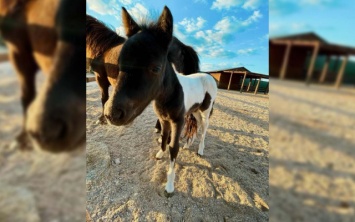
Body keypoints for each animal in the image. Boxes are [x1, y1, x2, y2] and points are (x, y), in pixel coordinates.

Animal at [104, 6, 218, 196]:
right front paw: (159, 154)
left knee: (204, 128)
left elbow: (173, 147)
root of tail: (209, 77)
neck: (169, 95)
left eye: (156, 68)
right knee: (196, 124)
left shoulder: (177, 121)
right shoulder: (164, 120)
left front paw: (170, 186)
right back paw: (189, 146)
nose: (112, 114)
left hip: (206, 110)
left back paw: (201, 150)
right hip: (194, 110)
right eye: (119, 64)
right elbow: (164, 138)